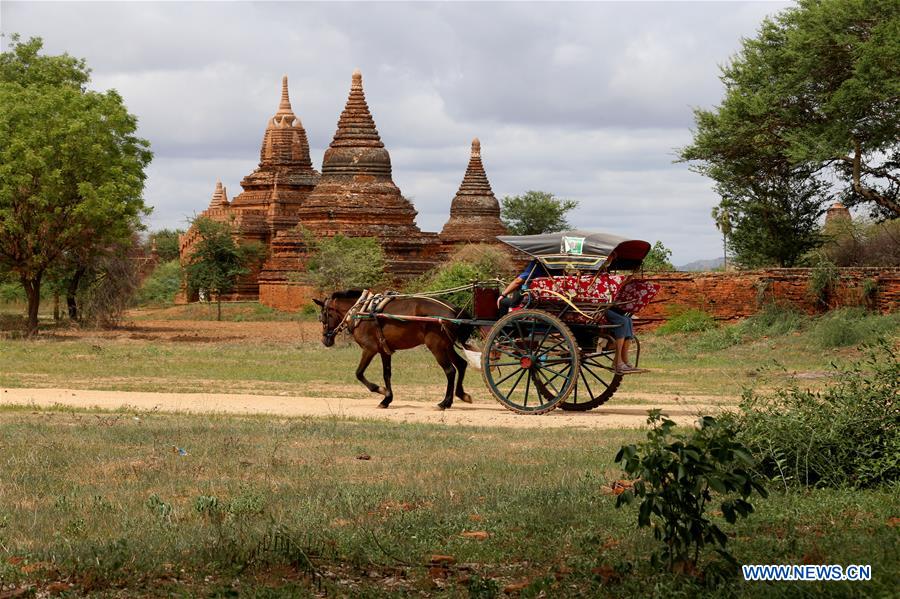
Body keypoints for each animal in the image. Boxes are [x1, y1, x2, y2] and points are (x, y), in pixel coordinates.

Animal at [312, 292, 474, 412]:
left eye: (323, 316)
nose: (325, 340)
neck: (361, 311)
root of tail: (454, 310)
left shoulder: (369, 349)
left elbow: (359, 373)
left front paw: (381, 390)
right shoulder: (385, 351)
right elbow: (386, 374)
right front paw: (386, 399)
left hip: (437, 347)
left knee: (450, 371)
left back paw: (444, 402)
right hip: (447, 346)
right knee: (461, 365)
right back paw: (461, 395)